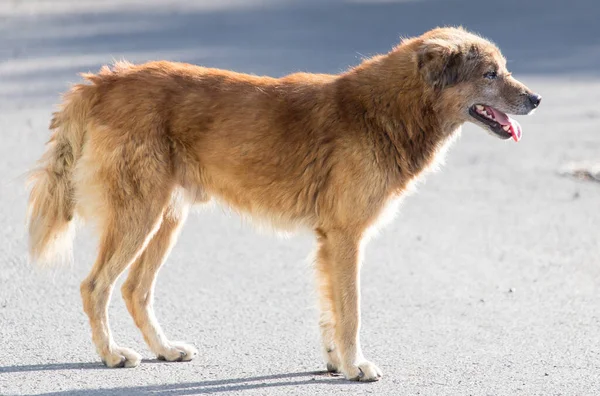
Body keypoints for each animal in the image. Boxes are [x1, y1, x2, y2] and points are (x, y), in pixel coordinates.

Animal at [27, 27, 540, 380]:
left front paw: (336, 361)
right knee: (95, 286)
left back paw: (165, 349)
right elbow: (351, 310)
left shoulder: (330, 241)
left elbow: (332, 308)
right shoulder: (346, 237)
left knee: (135, 289)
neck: (384, 110)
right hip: (139, 216)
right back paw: (112, 356)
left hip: (164, 219)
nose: (536, 99)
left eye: (503, 69)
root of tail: (104, 79)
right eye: (491, 74)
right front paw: (356, 366)